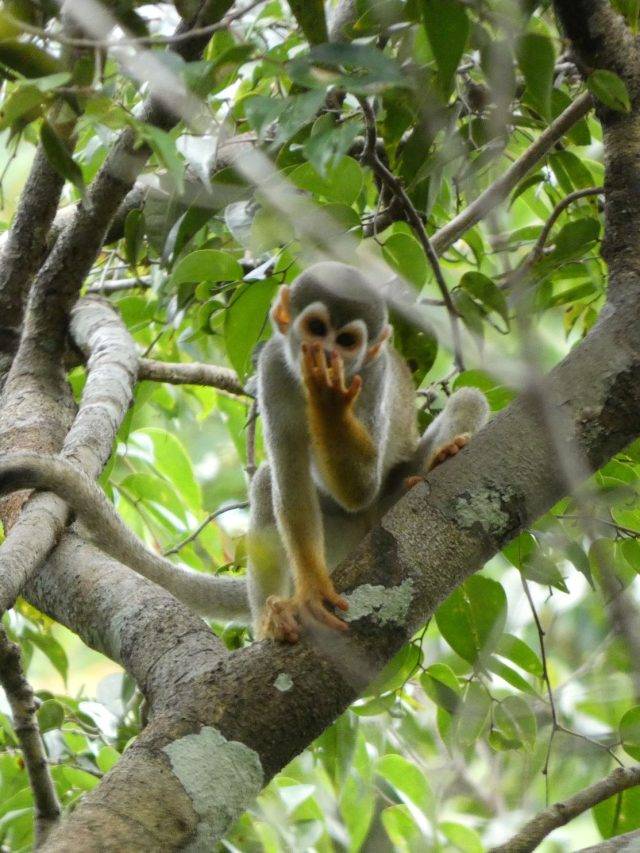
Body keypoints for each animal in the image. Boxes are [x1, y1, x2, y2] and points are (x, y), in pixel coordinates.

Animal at [0, 262, 488, 641]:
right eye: (317, 329)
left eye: (347, 341)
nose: (325, 353)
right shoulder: (272, 366)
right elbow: (289, 478)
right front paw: (310, 593)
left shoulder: (374, 372)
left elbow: (360, 486)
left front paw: (329, 399)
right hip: (337, 538)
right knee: (269, 482)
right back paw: (272, 617)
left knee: (466, 402)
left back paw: (441, 457)